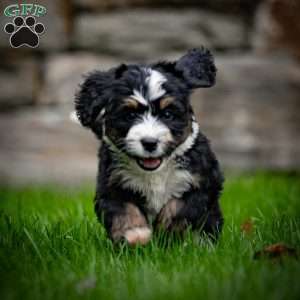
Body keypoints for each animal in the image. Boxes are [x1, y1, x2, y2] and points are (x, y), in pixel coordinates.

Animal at [75, 48, 223, 245]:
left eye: (167, 114)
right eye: (130, 115)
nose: (150, 142)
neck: (155, 173)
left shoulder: (203, 182)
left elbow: (178, 207)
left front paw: (167, 232)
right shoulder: (111, 185)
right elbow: (125, 211)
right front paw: (135, 234)